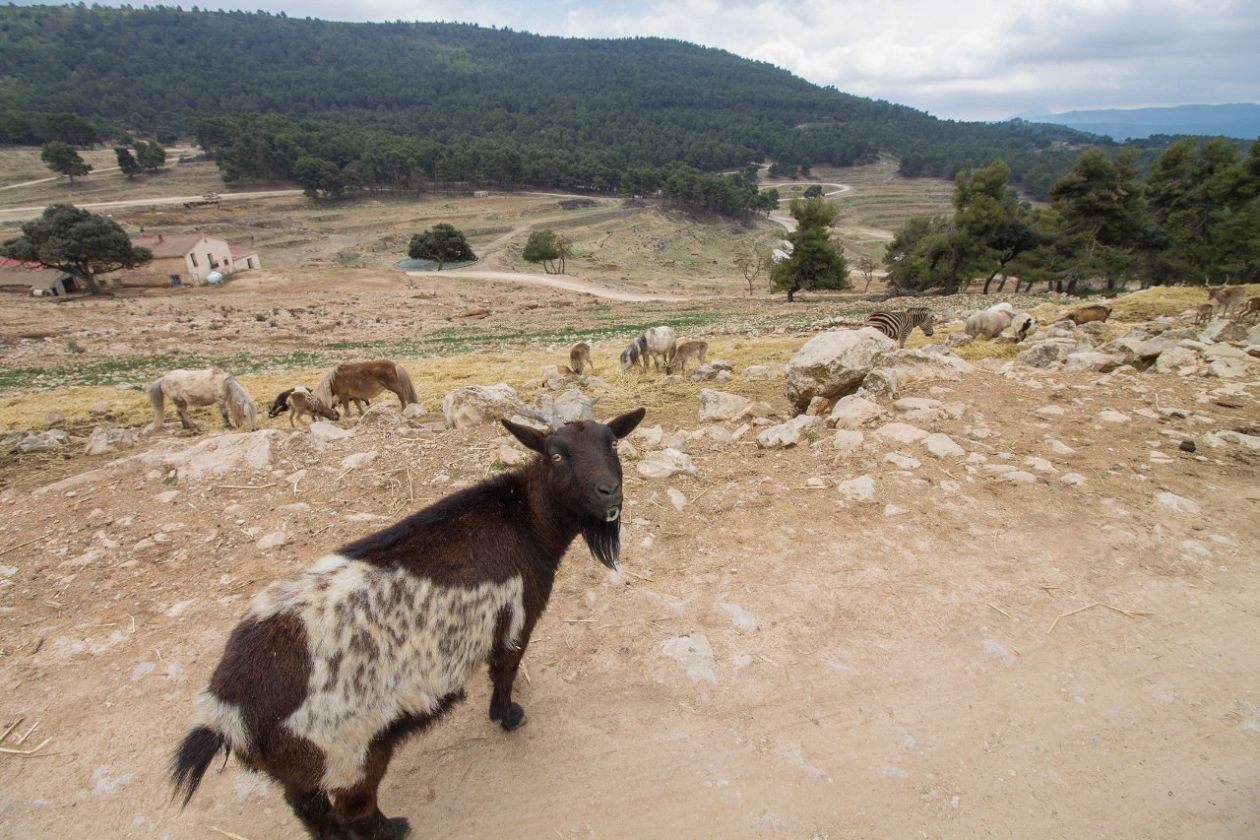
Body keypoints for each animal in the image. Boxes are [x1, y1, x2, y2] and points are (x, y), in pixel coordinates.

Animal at [171, 408, 645, 840]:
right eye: (557, 455)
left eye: (613, 443)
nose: (609, 494)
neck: (527, 521)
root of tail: (227, 710)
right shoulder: (517, 621)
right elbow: (506, 670)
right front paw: (507, 715)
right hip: (350, 751)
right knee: (354, 809)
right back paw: (393, 828)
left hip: (303, 770)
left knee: (309, 810)